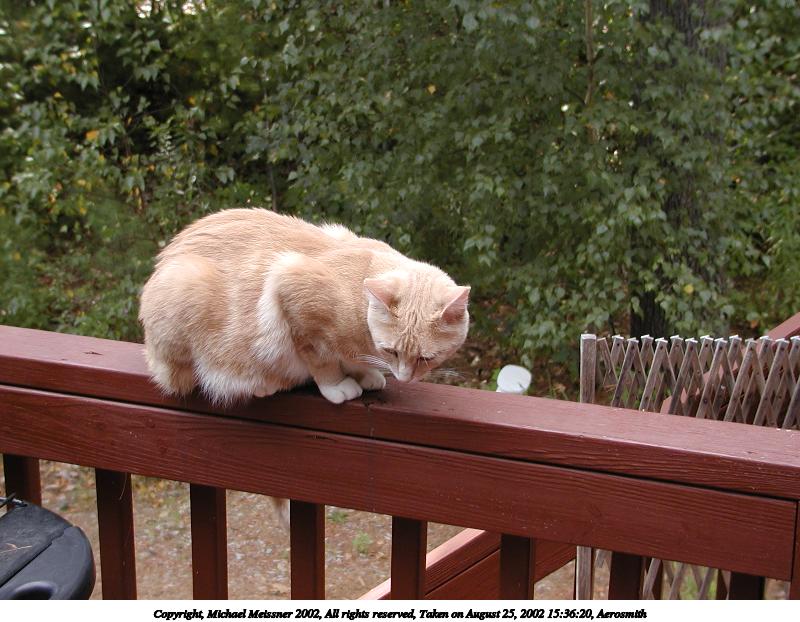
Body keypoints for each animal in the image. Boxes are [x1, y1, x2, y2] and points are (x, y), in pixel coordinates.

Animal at [139, 208, 470, 407]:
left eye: (427, 358)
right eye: (391, 351)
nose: (403, 377)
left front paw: (366, 373)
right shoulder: (295, 293)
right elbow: (322, 361)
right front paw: (339, 386)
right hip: (186, 286)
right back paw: (261, 384)